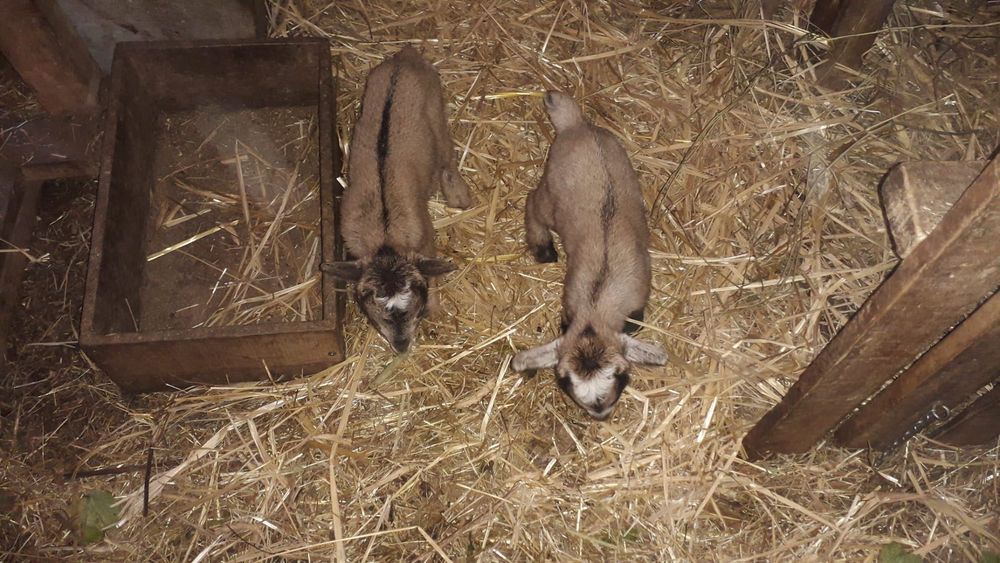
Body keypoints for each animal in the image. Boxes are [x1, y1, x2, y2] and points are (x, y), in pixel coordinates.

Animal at [323, 46, 472, 353]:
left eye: (417, 300)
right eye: (372, 310)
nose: (402, 346)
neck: (386, 240)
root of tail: (406, 55)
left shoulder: (425, 239)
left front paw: (436, 310)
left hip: (437, 112)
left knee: (447, 157)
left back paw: (460, 197)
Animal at [512, 91, 667, 420]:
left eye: (621, 375)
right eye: (564, 382)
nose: (600, 414)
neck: (597, 302)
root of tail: (576, 125)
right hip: (550, 196)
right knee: (532, 201)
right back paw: (543, 248)